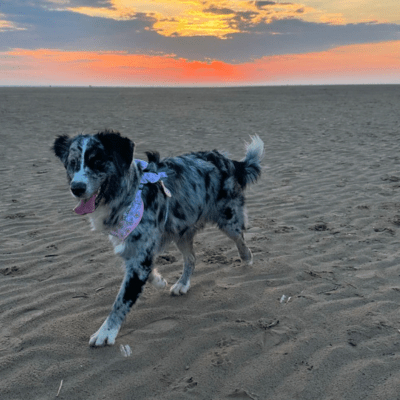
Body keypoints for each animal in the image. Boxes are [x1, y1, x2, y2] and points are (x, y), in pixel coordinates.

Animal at [52, 131, 266, 346]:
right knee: (191, 258)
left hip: (227, 218)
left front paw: (106, 332)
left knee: (240, 238)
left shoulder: (140, 256)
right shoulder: (132, 249)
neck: (129, 193)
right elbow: (145, 272)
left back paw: (246, 258)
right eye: (72, 163)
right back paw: (182, 284)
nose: (76, 188)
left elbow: (121, 300)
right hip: (181, 231)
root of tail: (224, 159)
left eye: (97, 161)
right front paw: (159, 280)